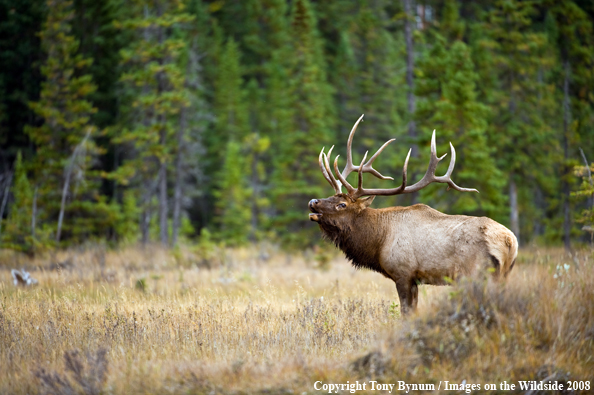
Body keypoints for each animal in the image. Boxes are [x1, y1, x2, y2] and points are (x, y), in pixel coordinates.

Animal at [308, 114, 516, 316]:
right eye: (331, 197)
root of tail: (510, 241)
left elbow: (406, 312)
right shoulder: (415, 278)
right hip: (504, 274)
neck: (378, 241)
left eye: (342, 204)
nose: (313, 202)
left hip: (478, 272)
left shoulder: (403, 273)